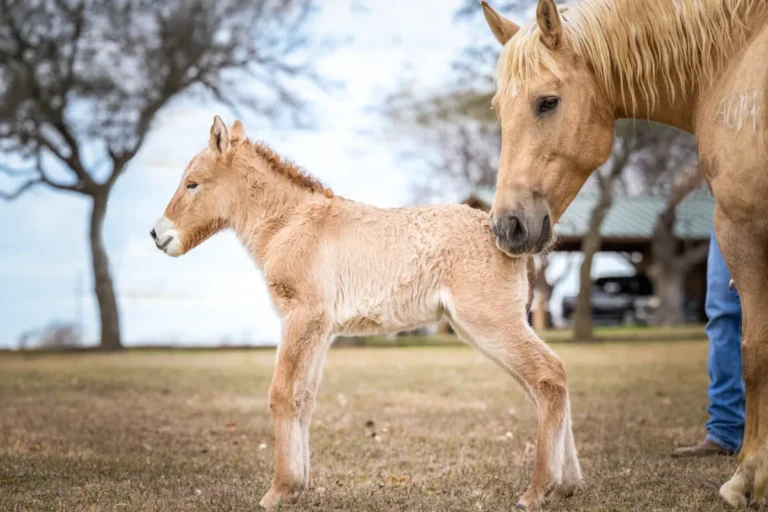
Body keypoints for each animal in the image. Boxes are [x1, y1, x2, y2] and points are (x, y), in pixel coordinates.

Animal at [150, 116, 581, 510]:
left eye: (192, 183)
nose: (157, 235)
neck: (291, 223)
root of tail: (508, 234)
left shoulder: (302, 318)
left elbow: (282, 394)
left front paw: (278, 491)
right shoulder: (320, 330)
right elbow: (304, 398)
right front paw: (298, 486)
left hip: (491, 323)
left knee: (548, 375)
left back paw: (537, 491)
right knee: (547, 382)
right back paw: (567, 485)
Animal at [480, 0, 767, 506]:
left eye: (547, 102)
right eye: (498, 109)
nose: (506, 226)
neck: (731, 60)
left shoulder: (742, 226)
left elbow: (754, 354)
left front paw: (748, 477)